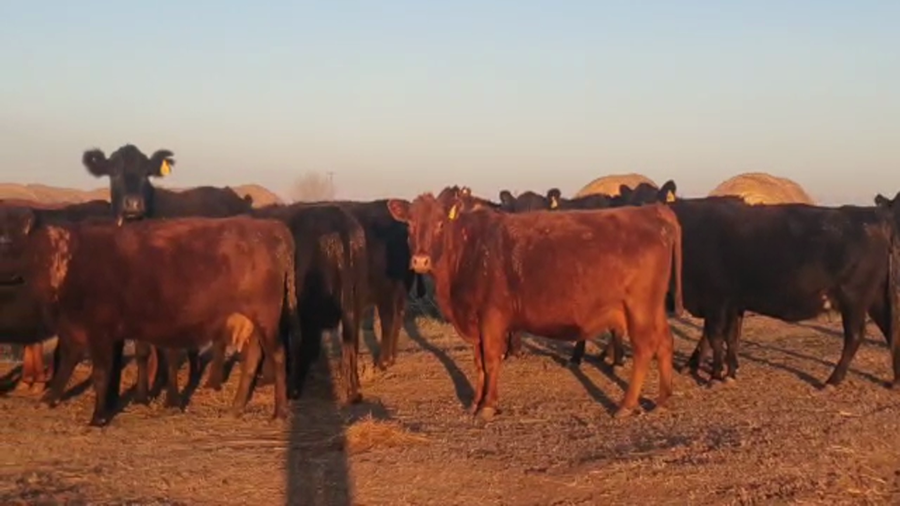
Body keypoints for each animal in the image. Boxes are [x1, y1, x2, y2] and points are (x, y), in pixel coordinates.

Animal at [81, 144, 255, 404]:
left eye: (146, 173)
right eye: (114, 171)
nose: (133, 204)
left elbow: (170, 350)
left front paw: (172, 398)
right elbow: (144, 349)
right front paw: (144, 393)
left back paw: (213, 380)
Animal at [386, 188, 683, 419]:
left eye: (440, 224)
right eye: (410, 225)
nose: (420, 260)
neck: (471, 249)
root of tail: (654, 212)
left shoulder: (492, 317)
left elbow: (491, 360)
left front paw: (488, 406)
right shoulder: (474, 321)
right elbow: (478, 362)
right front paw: (476, 402)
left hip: (639, 309)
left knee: (644, 349)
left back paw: (627, 405)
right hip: (653, 309)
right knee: (665, 342)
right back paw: (663, 399)